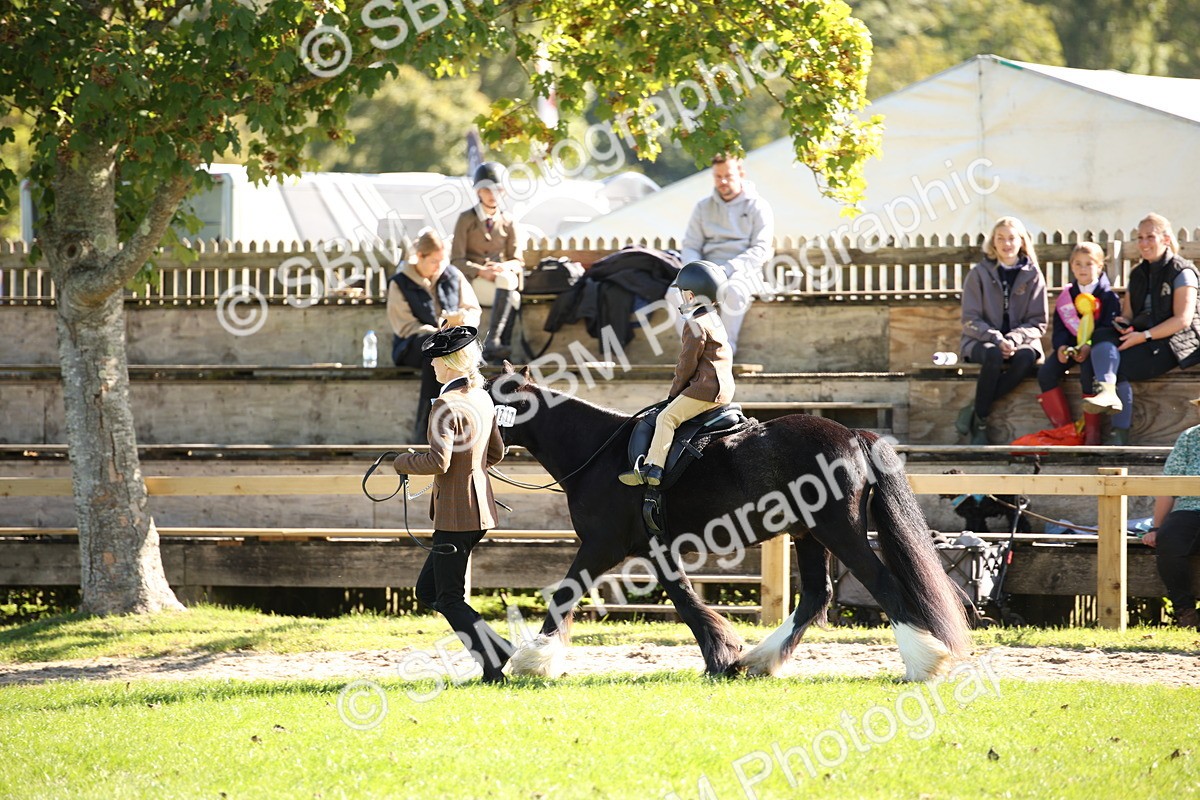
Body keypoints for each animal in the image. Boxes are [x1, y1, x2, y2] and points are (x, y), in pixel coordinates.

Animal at [487, 365, 972, 682]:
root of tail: (853, 434)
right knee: (816, 596)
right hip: (808, 535)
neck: (598, 453)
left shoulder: (600, 545)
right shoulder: (654, 549)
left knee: (883, 584)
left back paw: (924, 662)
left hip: (838, 531)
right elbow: (686, 601)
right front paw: (723, 656)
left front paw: (534, 661)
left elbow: (565, 594)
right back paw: (760, 661)